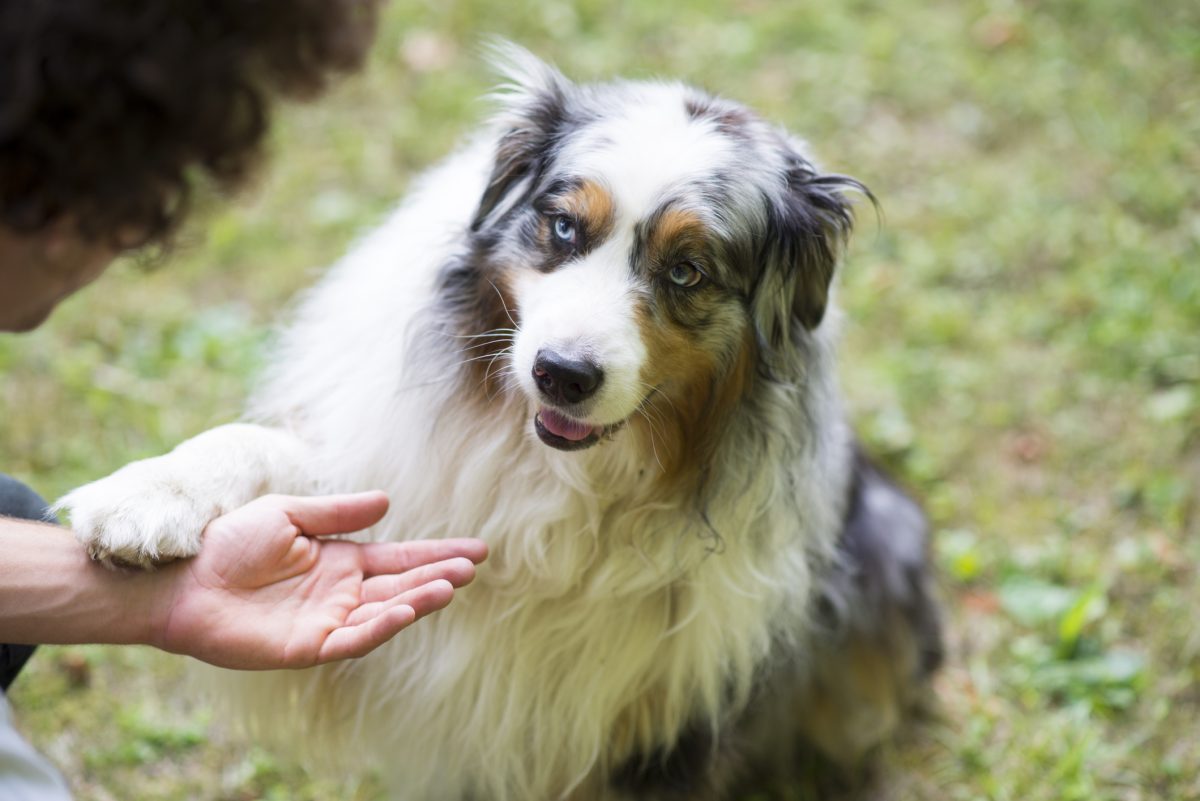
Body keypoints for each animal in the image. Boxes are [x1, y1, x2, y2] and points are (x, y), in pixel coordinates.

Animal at [60, 45, 940, 801]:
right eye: (564, 228)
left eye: (687, 270)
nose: (562, 374)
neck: (554, 472)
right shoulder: (402, 478)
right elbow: (257, 447)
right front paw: (149, 497)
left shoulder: (668, 720)